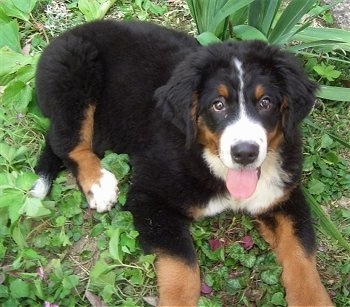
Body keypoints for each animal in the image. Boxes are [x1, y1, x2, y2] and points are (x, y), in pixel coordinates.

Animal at [30, 20, 334, 306]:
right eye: (218, 105)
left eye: (266, 102)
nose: (245, 153)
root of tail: (67, 35)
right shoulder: (150, 198)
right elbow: (182, 268)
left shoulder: (283, 197)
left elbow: (301, 254)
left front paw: (314, 299)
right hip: (75, 74)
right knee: (67, 142)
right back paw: (99, 184)